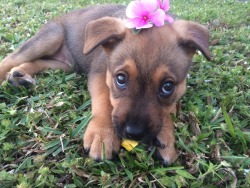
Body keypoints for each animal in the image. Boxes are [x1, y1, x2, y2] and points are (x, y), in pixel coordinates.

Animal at [0, 3, 211, 164]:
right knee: (10, 59)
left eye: (167, 86)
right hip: (49, 38)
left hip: (65, 65)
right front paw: (103, 135)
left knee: (38, 62)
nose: (133, 133)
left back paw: (20, 75)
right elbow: (104, 99)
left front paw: (166, 135)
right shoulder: (100, 73)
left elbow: (169, 109)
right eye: (121, 79)